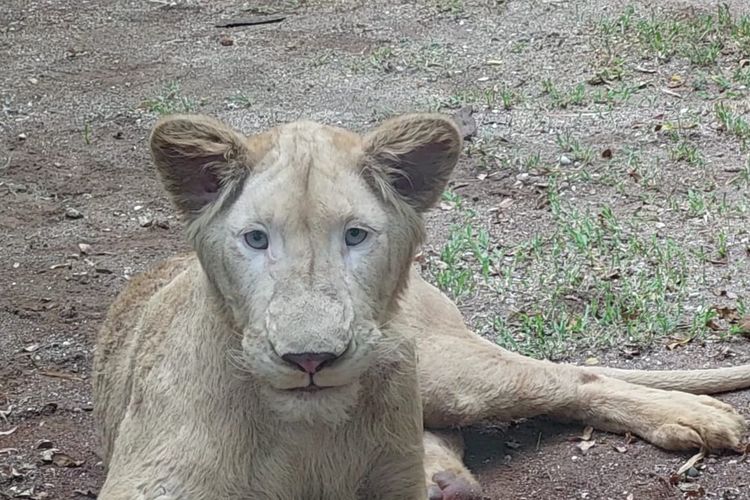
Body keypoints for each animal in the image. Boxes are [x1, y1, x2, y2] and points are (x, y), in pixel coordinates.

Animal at [94, 114, 750, 500]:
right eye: (256, 239)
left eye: (356, 236)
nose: (310, 359)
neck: (307, 436)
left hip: (445, 371)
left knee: (567, 378)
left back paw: (698, 418)